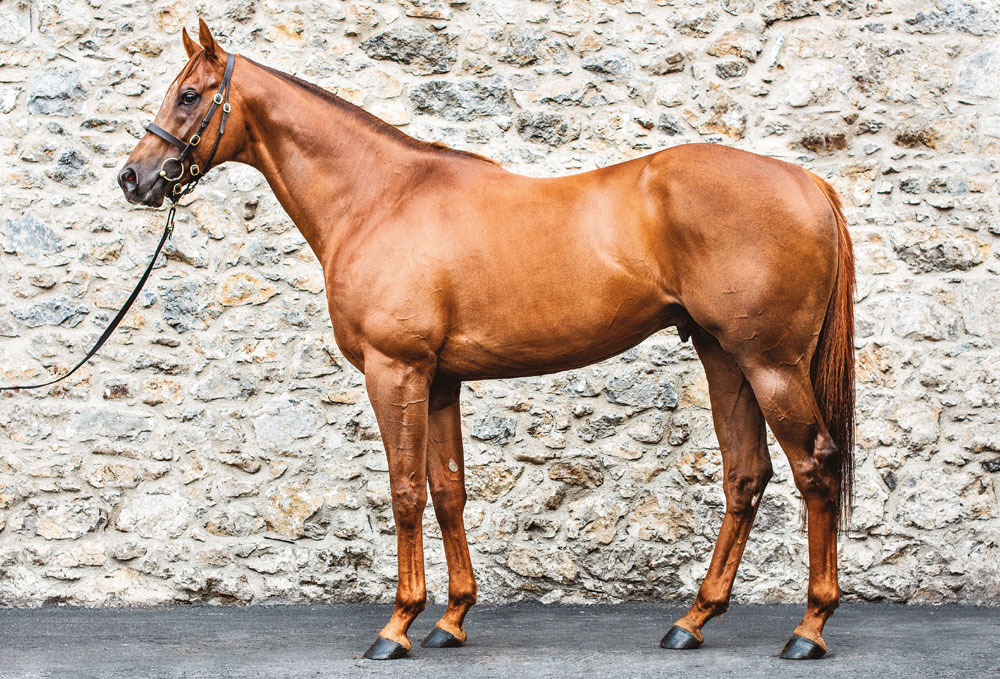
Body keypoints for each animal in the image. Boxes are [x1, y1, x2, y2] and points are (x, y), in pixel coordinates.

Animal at [119, 21, 855, 661]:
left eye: (190, 95)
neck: (379, 197)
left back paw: (808, 628)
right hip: (724, 357)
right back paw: (693, 620)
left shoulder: (396, 371)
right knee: (745, 475)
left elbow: (405, 492)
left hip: (771, 364)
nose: (135, 177)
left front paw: (397, 626)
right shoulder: (440, 380)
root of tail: (808, 182)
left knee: (815, 467)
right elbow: (448, 491)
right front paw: (451, 619)